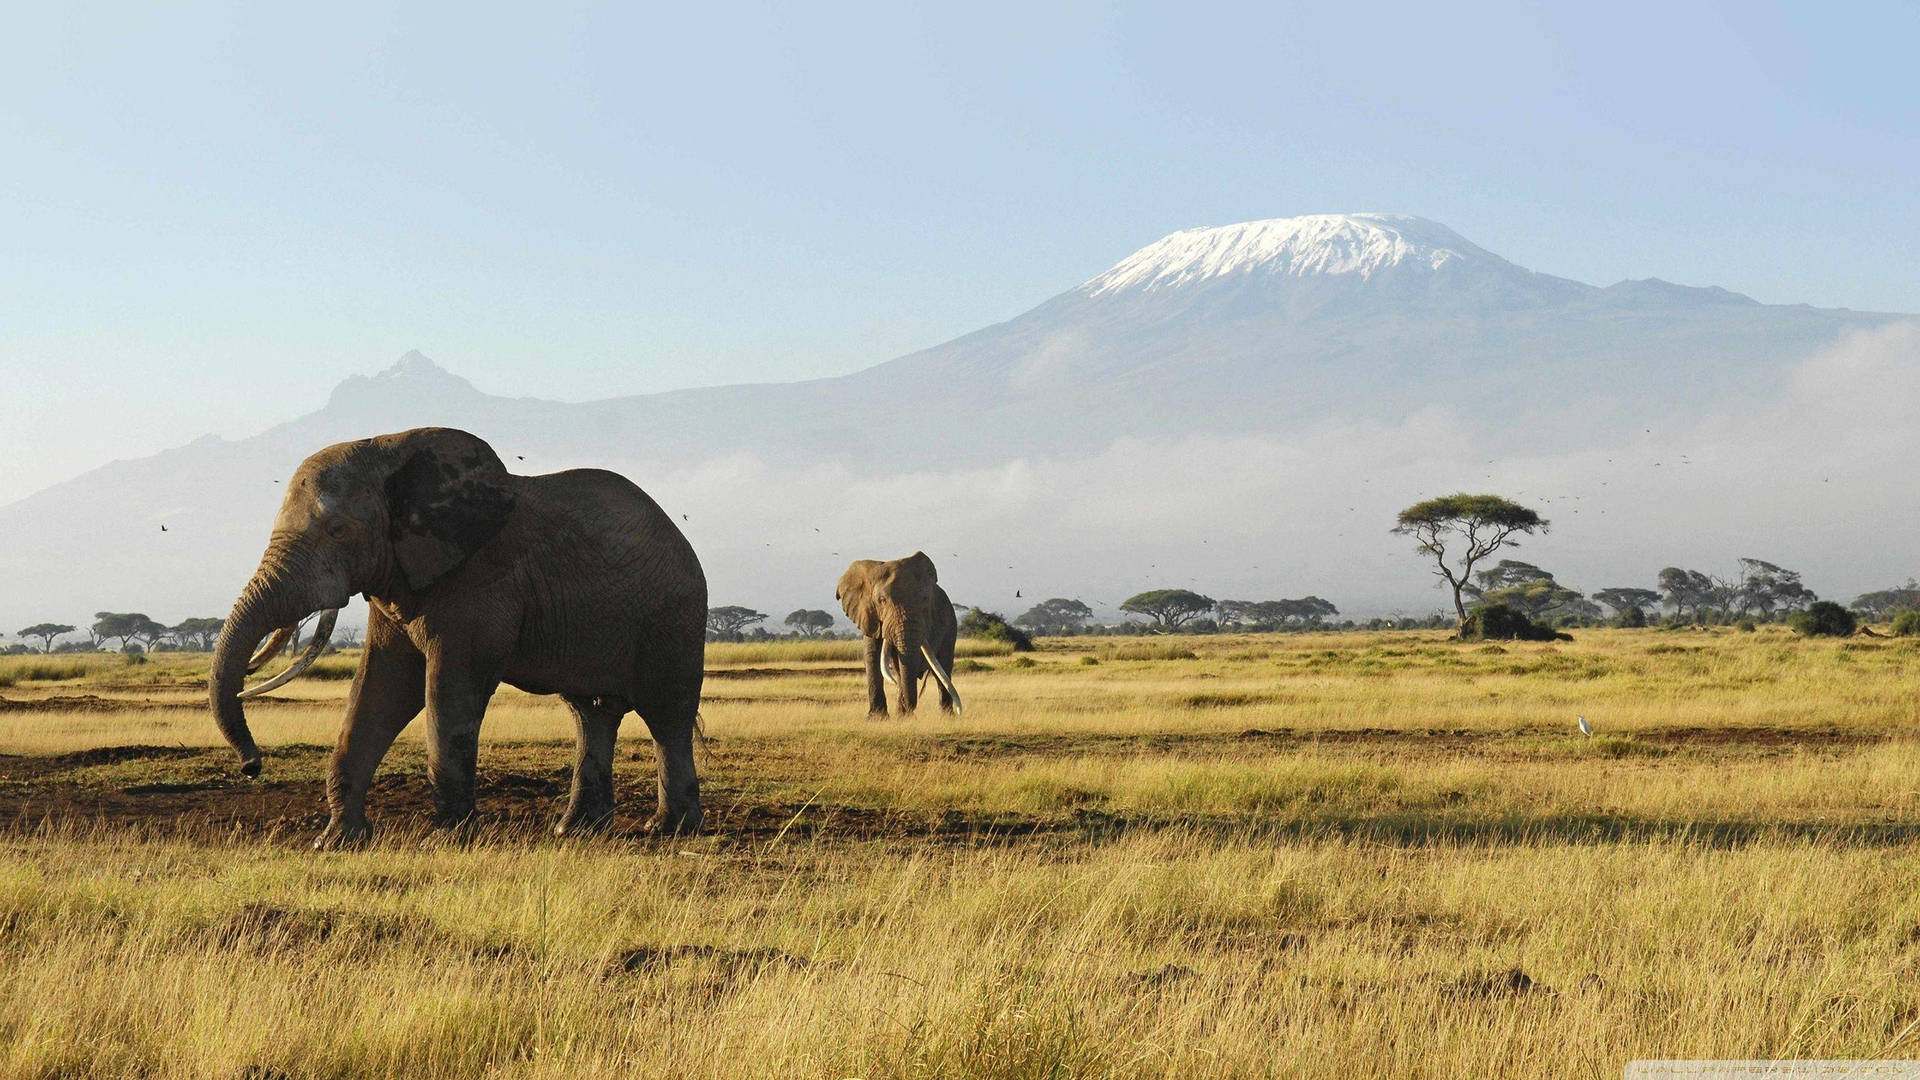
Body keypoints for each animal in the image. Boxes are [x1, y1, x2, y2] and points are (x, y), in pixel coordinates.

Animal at [208, 427, 707, 848]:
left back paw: (670, 829)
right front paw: (336, 842)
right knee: (591, 713)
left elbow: (449, 690)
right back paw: (576, 830)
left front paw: (446, 840)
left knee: (667, 715)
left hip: (674, 617)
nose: (252, 767)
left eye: (338, 530)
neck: (389, 450)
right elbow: (381, 689)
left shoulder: (479, 580)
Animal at [835, 552, 963, 717]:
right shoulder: (868, 615)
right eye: (881, 600)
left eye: (925, 600)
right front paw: (878, 718)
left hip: (951, 624)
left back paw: (946, 716)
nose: (911, 711)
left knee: (943, 668)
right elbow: (872, 655)